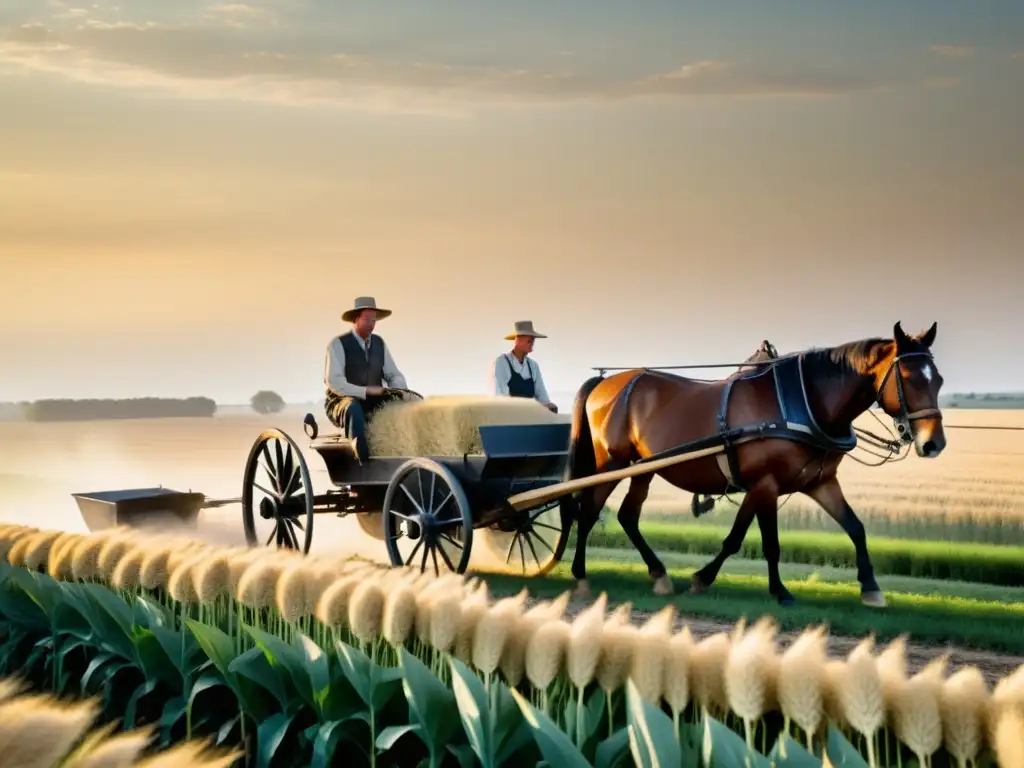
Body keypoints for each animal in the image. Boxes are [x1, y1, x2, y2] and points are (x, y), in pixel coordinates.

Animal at [561, 323, 942, 606]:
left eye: (937, 379)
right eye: (908, 378)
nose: (933, 443)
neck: (806, 403)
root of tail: (606, 382)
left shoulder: (816, 482)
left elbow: (854, 527)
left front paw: (871, 587)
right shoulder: (766, 483)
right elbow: (768, 541)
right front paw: (780, 591)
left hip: (644, 467)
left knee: (627, 516)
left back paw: (659, 574)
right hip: (613, 463)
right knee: (588, 512)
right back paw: (580, 576)